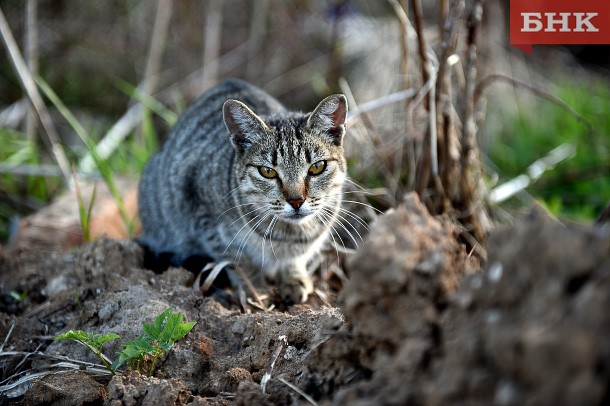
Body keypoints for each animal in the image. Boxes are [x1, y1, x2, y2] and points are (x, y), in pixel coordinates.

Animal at [139, 78, 346, 302]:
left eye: (317, 167)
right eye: (267, 171)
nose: (296, 201)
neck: (288, 234)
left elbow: (295, 258)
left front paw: (293, 278)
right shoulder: (202, 210)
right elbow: (238, 259)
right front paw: (255, 289)